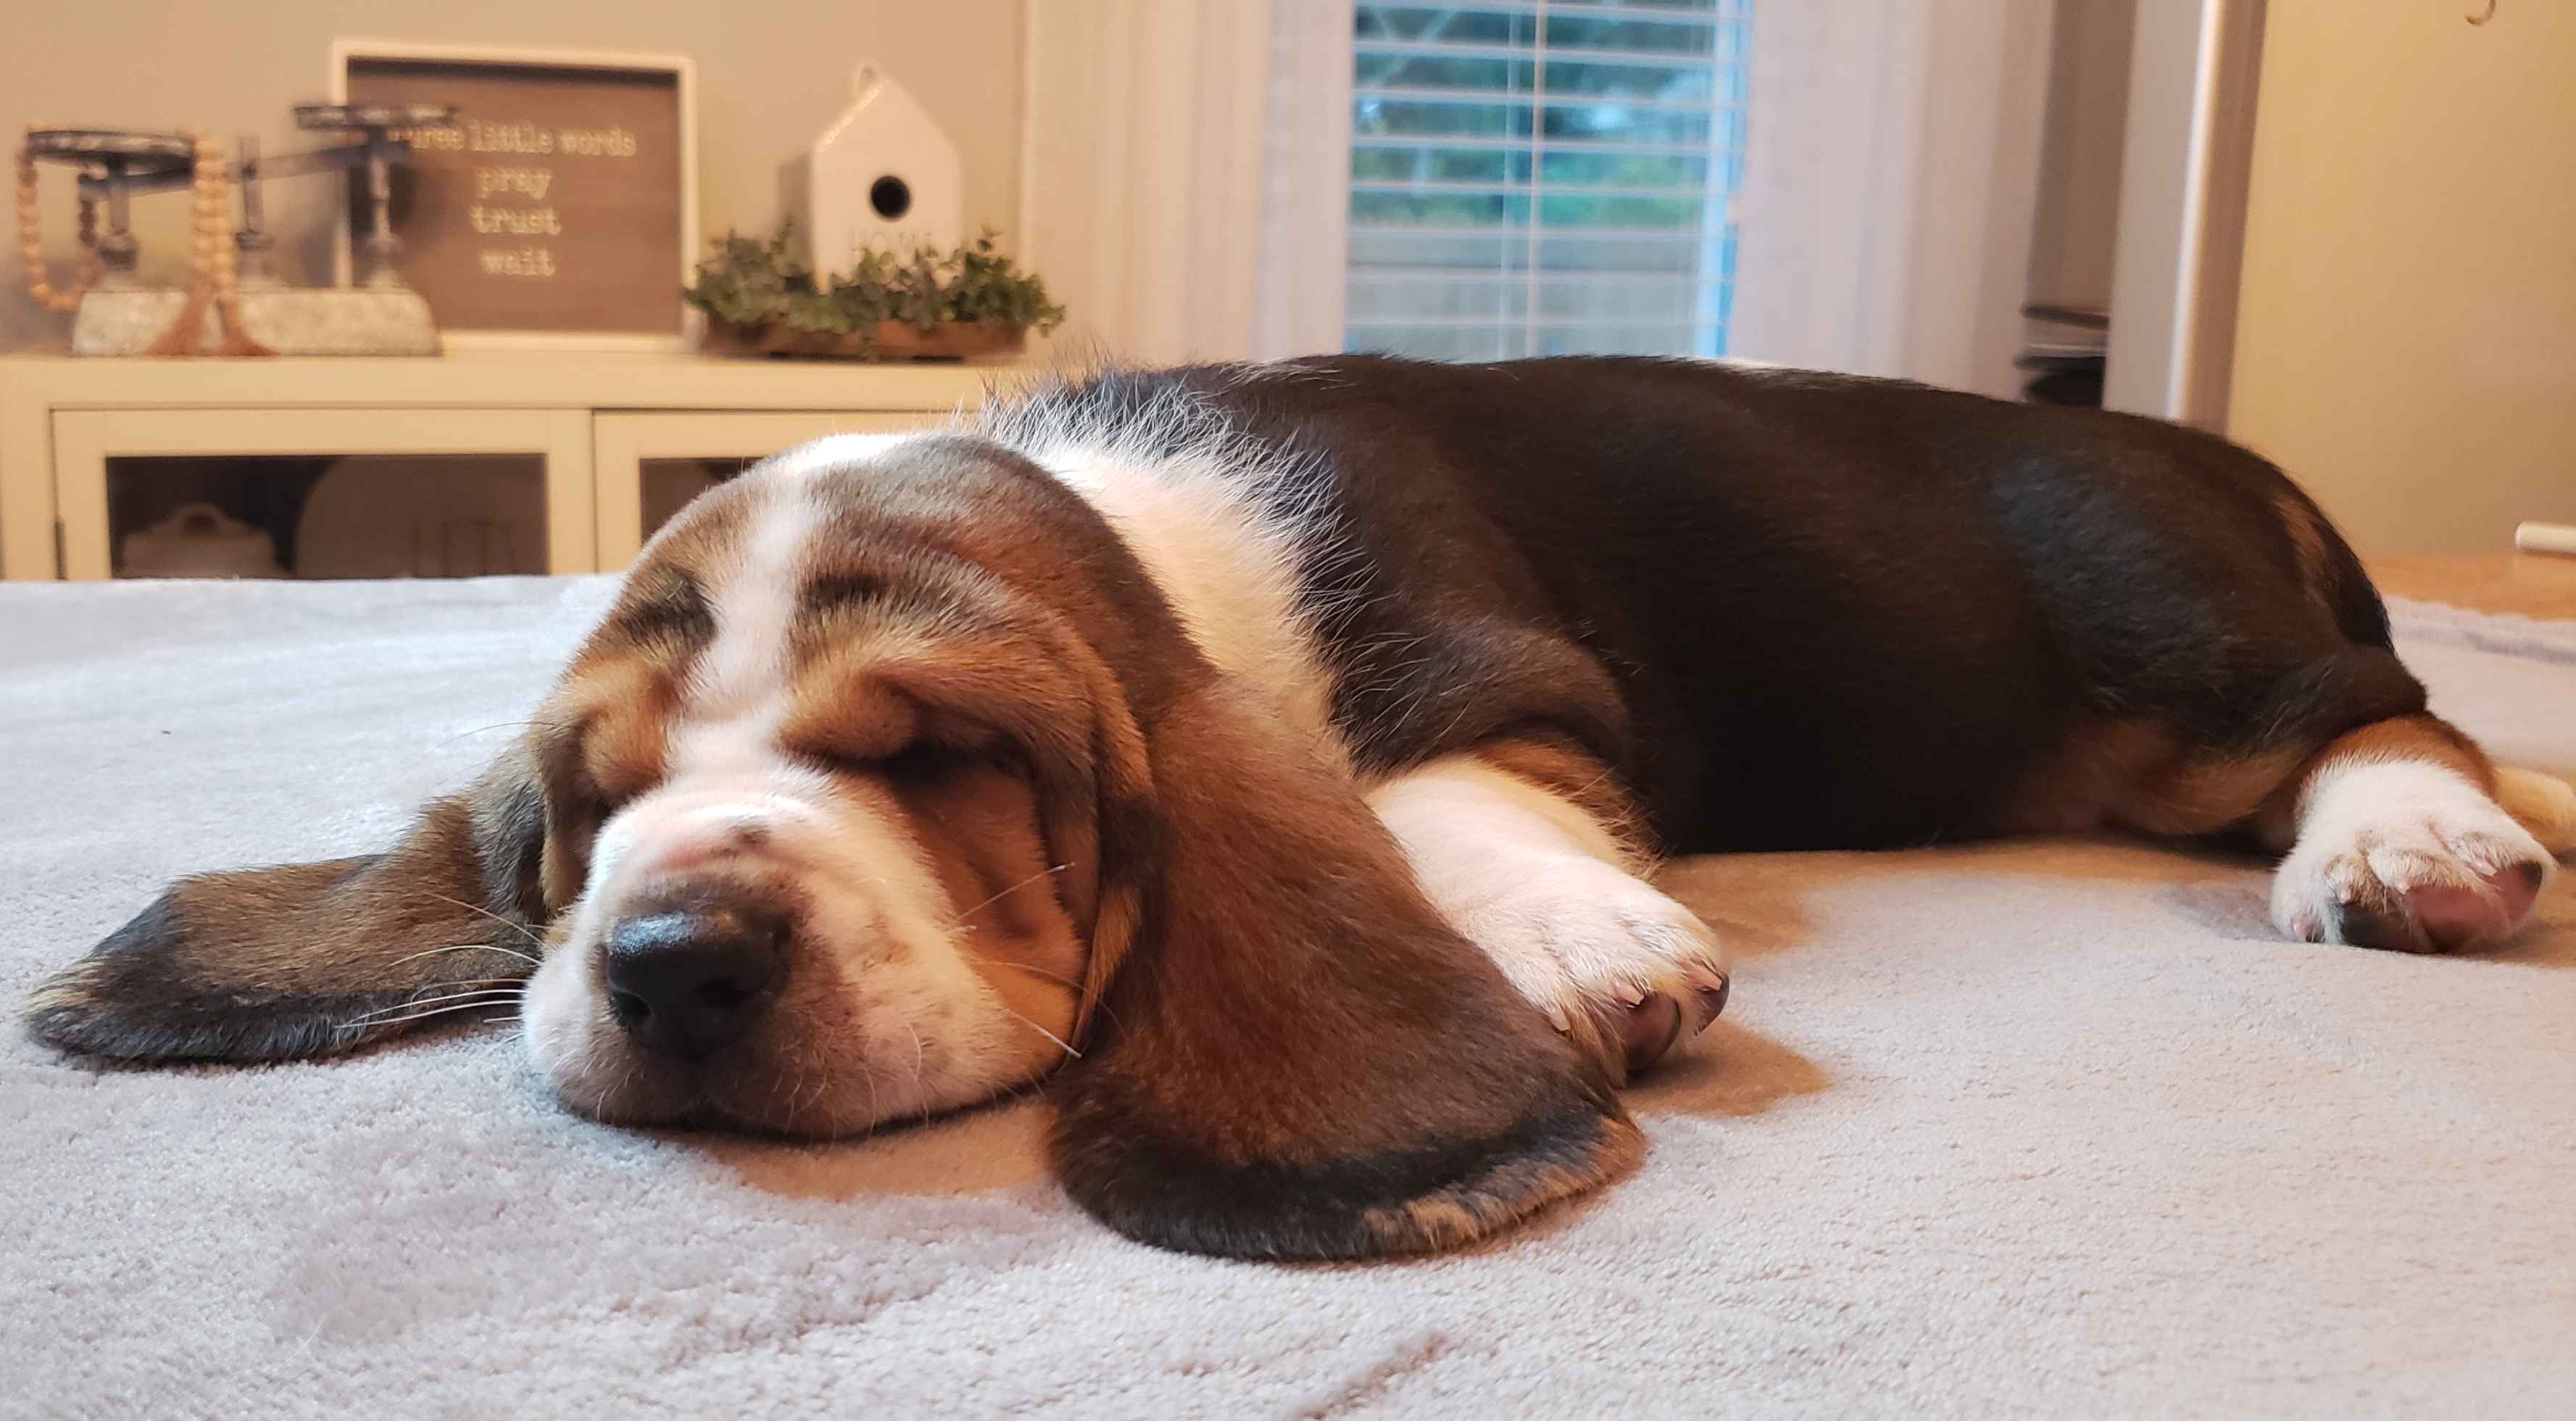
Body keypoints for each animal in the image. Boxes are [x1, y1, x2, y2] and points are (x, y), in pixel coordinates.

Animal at [26, 356, 2576, 1262]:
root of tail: (2206, 446)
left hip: (2173, 667)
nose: (666, 966)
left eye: (937, 755)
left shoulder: (1487, 677)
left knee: (2388, 711)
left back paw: (2412, 844)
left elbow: (1435, 792)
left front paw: (1574, 946)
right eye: (589, 804)